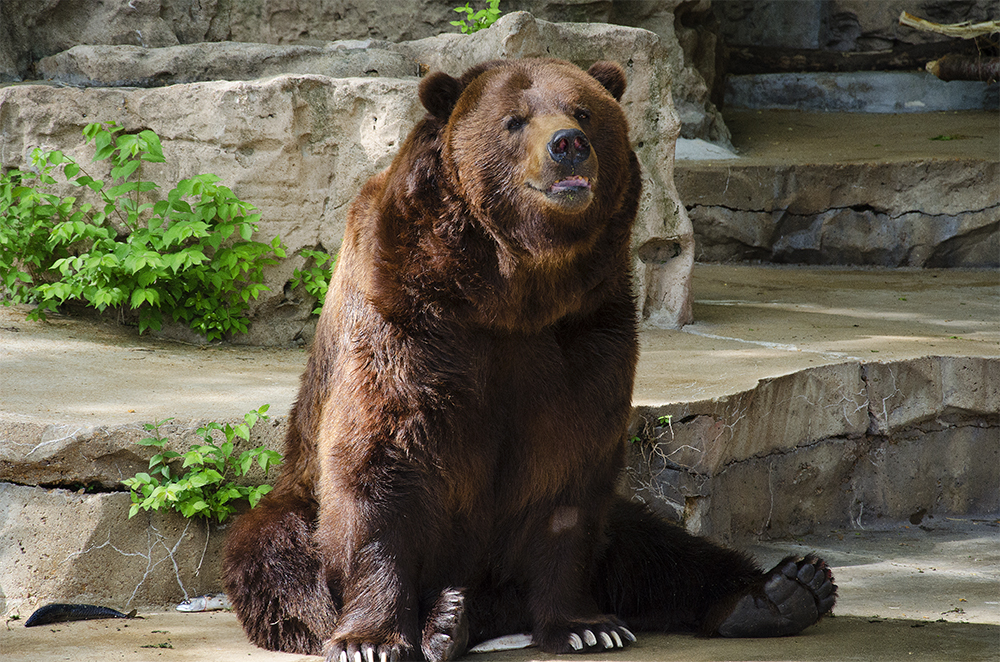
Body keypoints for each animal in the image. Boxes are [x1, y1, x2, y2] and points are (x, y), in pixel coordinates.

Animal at [225, 58, 836, 662]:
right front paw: (369, 641)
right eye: (514, 120)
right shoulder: (407, 313)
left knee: (657, 546)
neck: (511, 289)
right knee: (275, 554)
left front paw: (587, 626)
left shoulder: (585, 332)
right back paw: (443, 619)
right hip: (293, 503)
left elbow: (568, 470)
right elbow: (381, 460)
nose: (568, 144)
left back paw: (785, 589)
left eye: (583, 111)